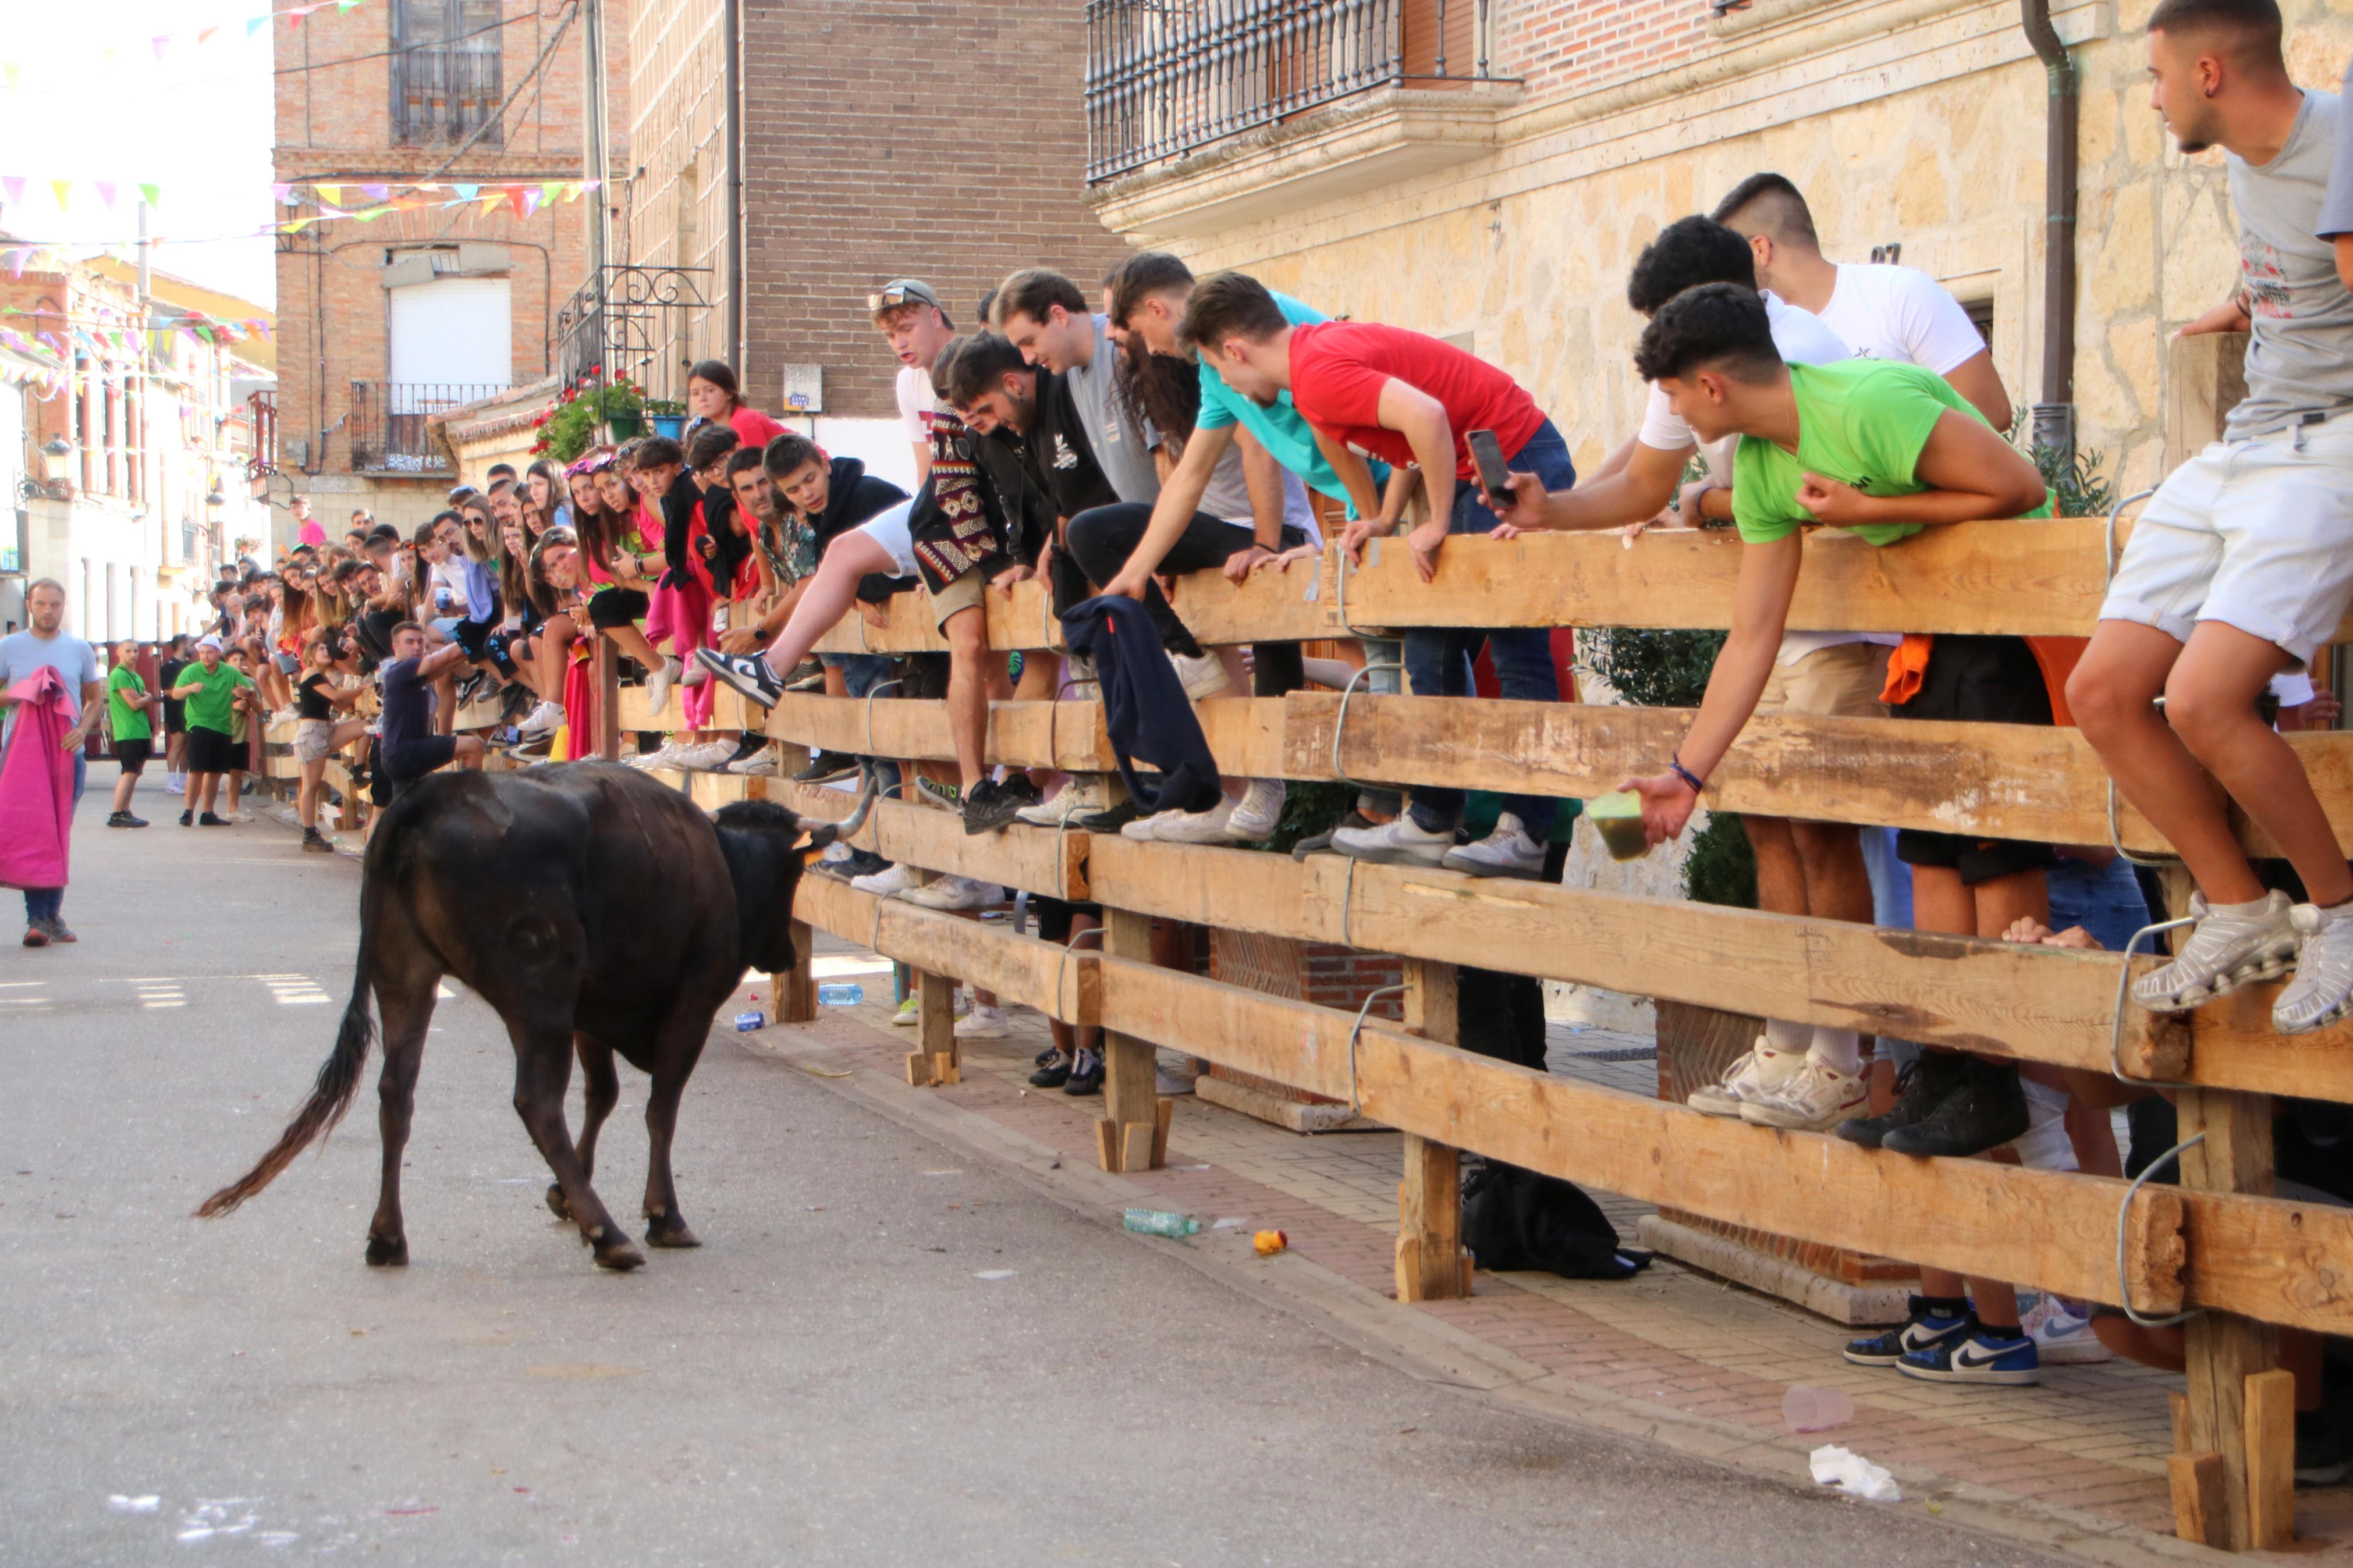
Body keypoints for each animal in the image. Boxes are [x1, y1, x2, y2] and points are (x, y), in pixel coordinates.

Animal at [195, 762, 875, 1279]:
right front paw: (663, 1215)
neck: (718, 862)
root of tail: (430, 798)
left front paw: (563, 1195)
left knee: (396, 1094)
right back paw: (609, 1235)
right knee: (536, 1101)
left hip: (405, 977)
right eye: (794, 871)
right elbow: (659, 1108)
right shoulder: (690, 1005)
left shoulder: (590, 1013)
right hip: (537, 992)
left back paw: (388, 1236)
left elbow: (603, 1095)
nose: (784, 954)